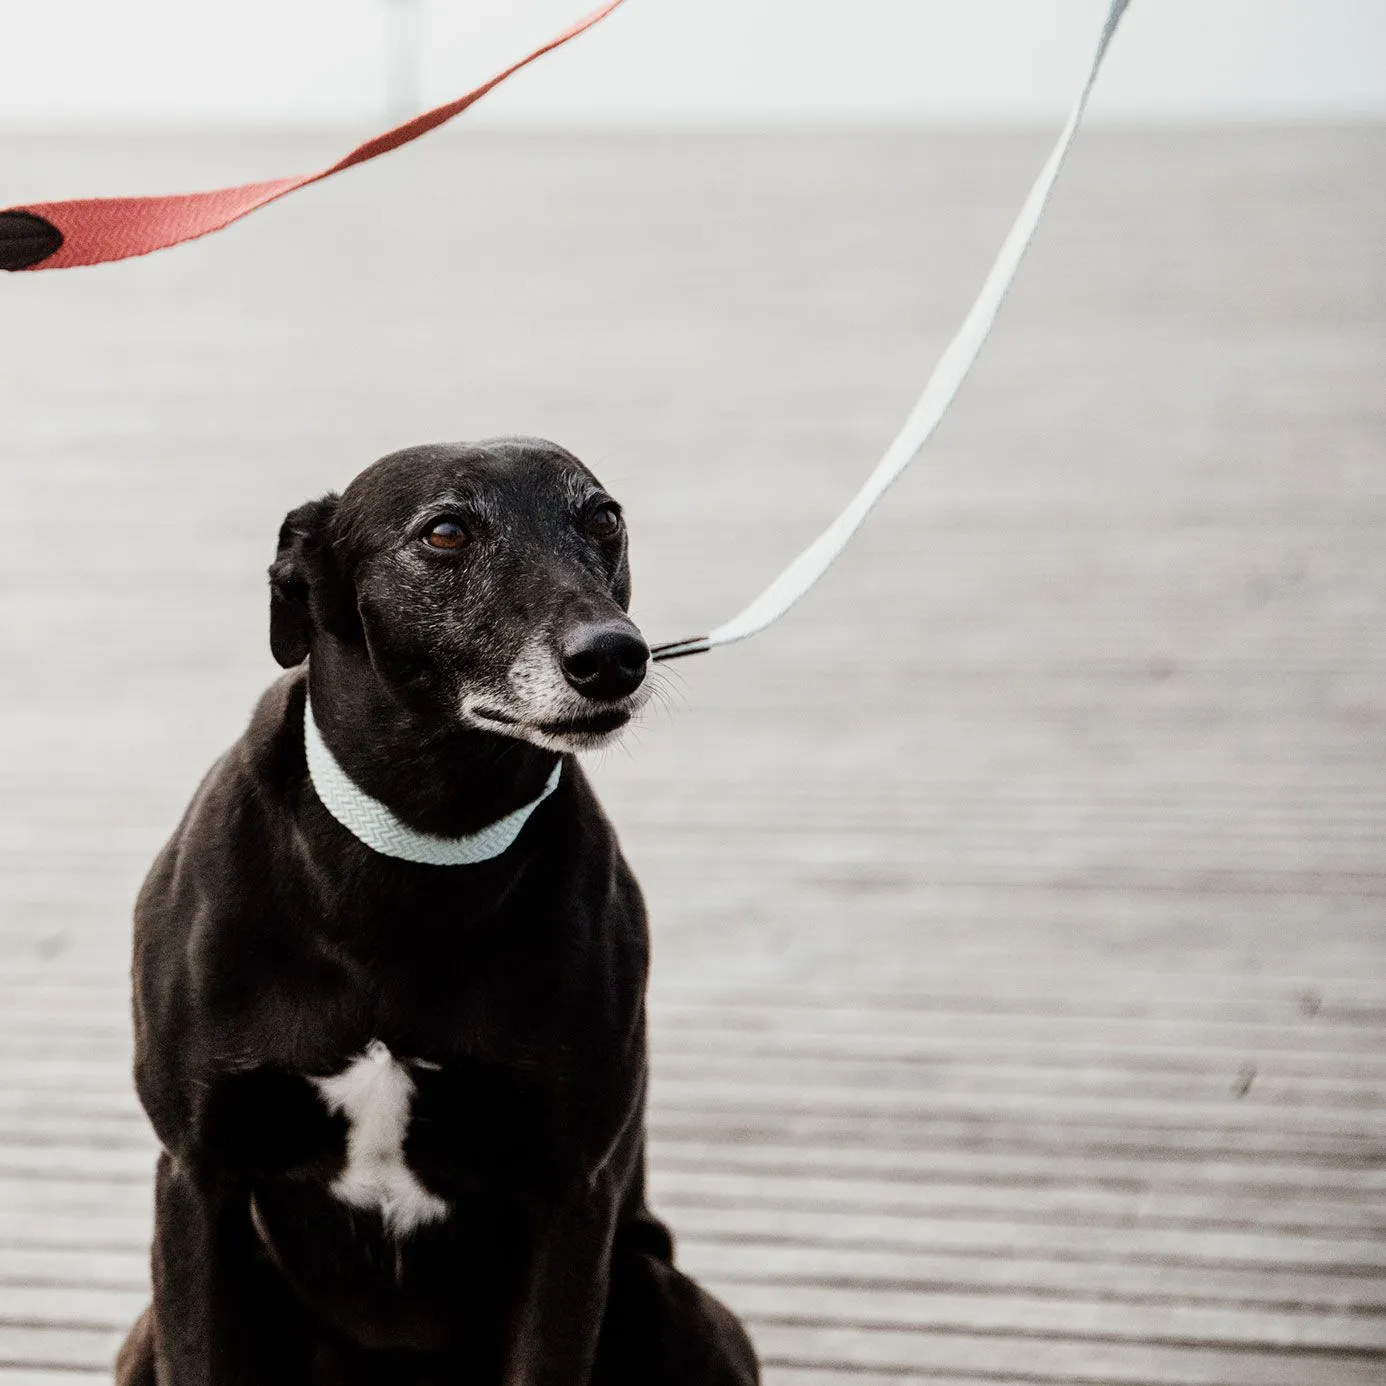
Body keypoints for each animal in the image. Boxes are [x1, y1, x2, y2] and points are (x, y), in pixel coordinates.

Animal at [120, 440, 765, 1386]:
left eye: (602, 517)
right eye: (447, 531)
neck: (420, 851)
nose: (615, 657)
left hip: (674, 1302)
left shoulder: (571, 1199)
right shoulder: (198, 1179)